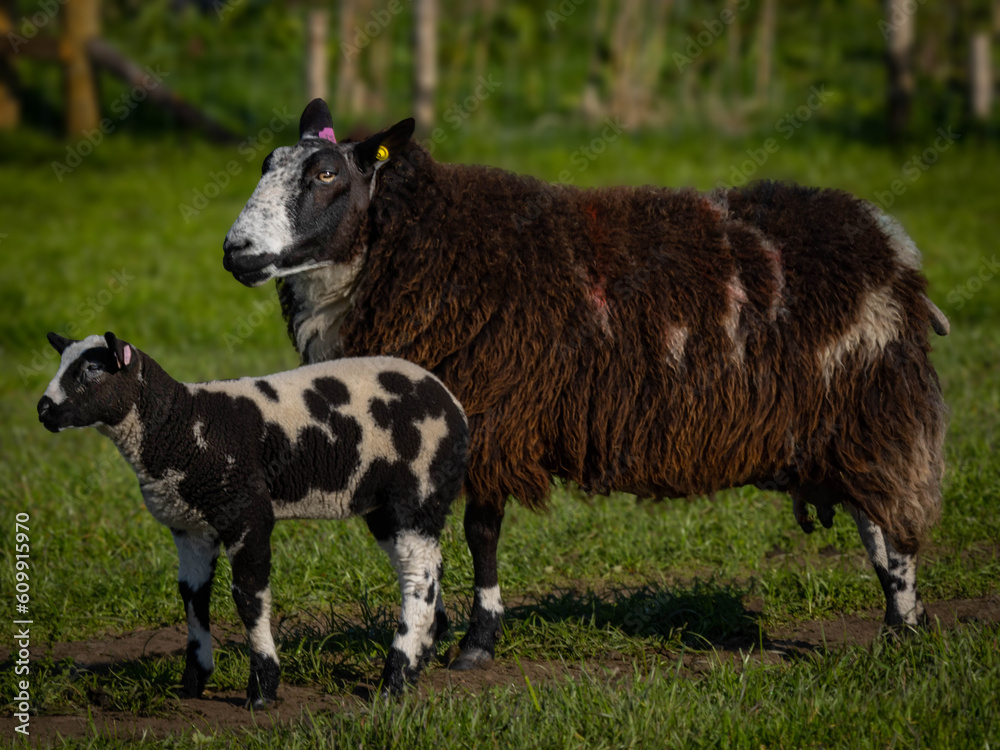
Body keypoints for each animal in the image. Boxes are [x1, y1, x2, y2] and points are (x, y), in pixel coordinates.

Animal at [40, 332, 472, 708]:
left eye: (92, 370)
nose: (43, 409)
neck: (183, 427)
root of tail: (453, 404)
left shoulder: (247, 513)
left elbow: (248, 597)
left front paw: (263, 688)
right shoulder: (189, 528)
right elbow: (193, 596)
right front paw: (194, 681)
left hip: (415, 493)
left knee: (418, 577)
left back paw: (395, 678)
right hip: (386, 507)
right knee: (427, 568)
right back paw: (422, 654)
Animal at [223, 98, 948, 668]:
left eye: (325, 173)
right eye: (263, 166)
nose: (236, 252)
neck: (420, 250)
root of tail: (888, 241)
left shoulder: (494, 415)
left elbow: (481, 533)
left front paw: (476, 642)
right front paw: (438, 629)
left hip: (873, 408)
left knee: (890, 526)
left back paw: (902, 630)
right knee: (875, 521)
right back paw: (903, 627)